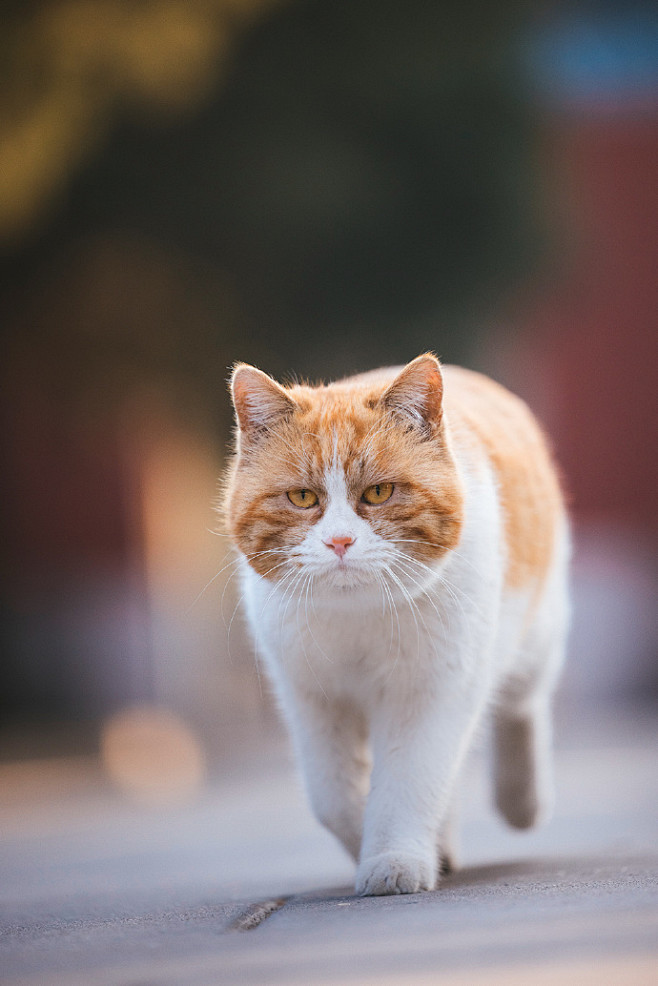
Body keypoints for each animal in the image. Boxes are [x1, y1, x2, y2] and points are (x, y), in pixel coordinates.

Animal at [223, 352, 568, 892]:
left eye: (379, 492)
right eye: (302, 498)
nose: (340, 541)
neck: (356, 616)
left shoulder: (431, 691)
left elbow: (407, 781)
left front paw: (394, 859)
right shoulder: (310, 698)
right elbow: (333, 796)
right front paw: (396, 845)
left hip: (534, 633)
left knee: (522, 702)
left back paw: (521, 802)